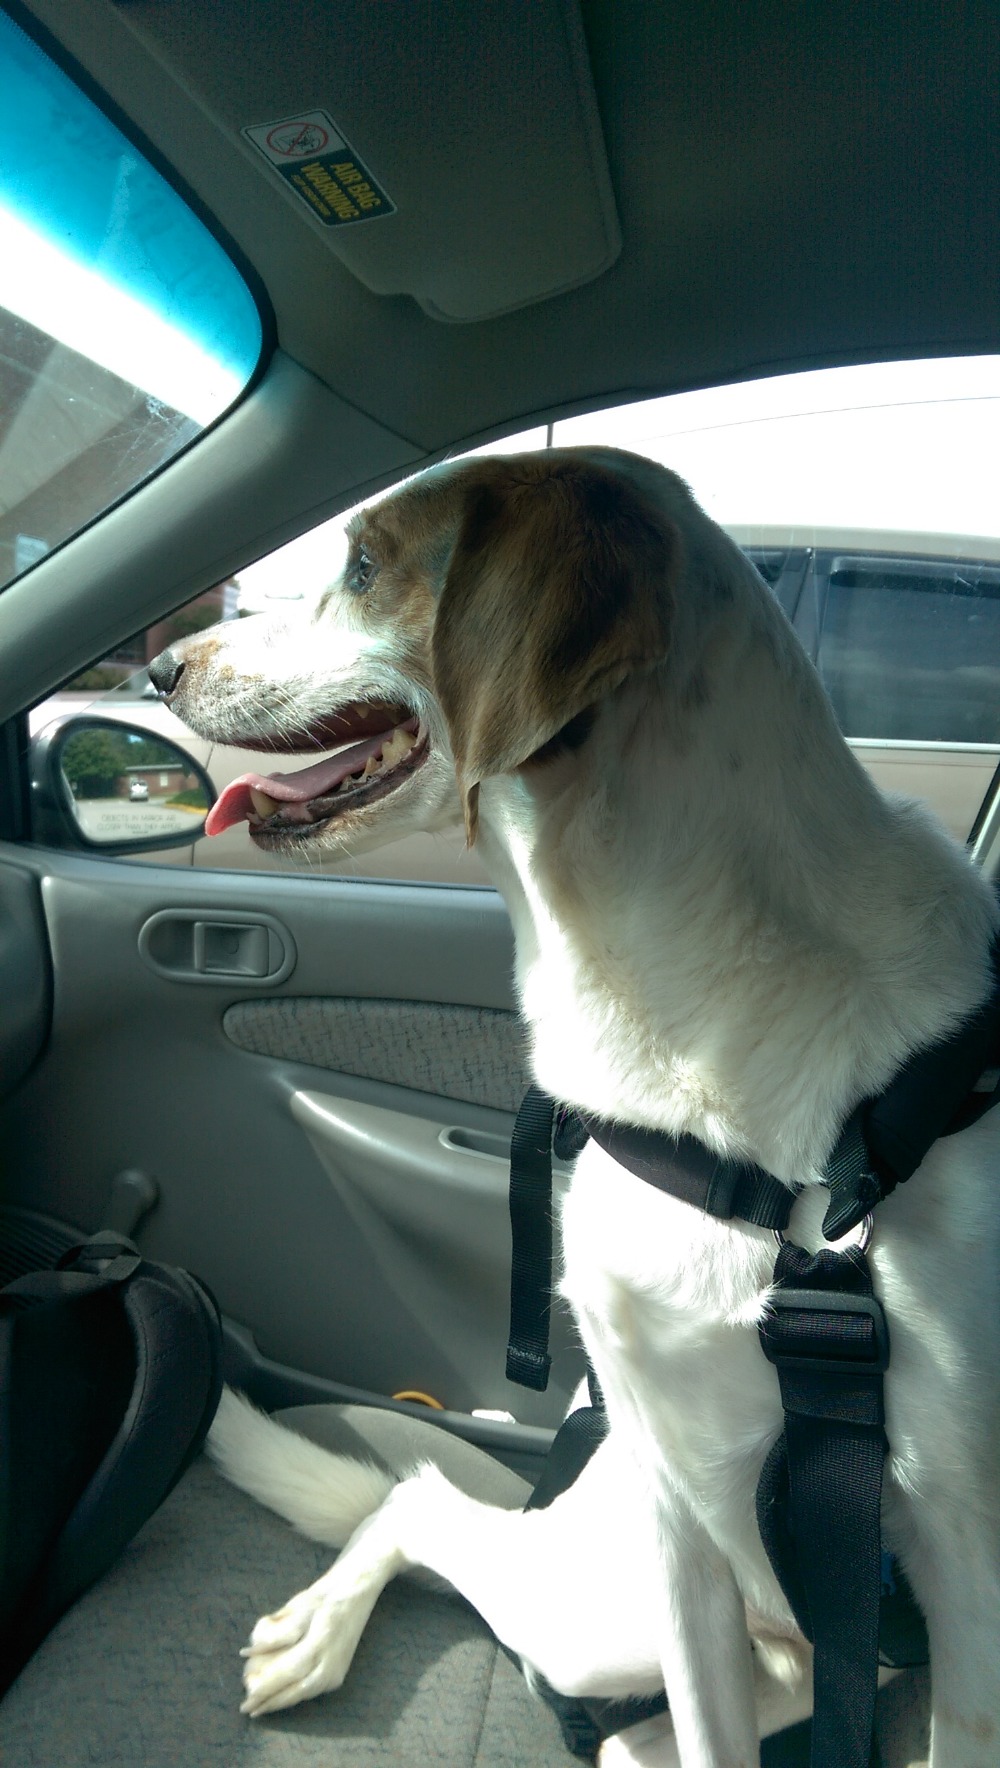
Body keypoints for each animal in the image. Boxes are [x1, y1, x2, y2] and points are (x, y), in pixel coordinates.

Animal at [154, 448, 1000, 1766]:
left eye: (362, 566)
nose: (159, 666)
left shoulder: (967, 1563)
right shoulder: (673, 1509)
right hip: (604, 1607)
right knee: (424, 1510)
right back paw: (322, 1629)